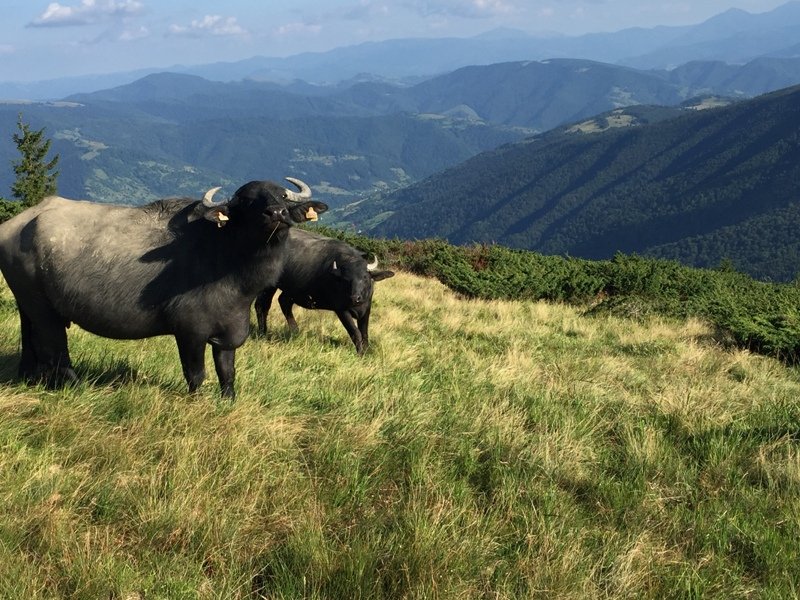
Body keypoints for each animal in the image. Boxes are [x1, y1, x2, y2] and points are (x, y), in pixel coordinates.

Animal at [0, 180, 328, 400]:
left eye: (282, 195)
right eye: (247, 201)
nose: (276, 213)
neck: (228, 260)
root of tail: (16, 224)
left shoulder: (229, 331)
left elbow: (227, 373)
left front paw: (228, 400)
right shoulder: (190, 332)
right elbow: (196, 375)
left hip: (27, 304)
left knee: (32, 341)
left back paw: (32, 378)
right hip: (44, 310)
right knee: (56, 349)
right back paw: (75, 385)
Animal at [256, 227, 394, 354]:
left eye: (365, 277)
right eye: (346, 279)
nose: (355, 297)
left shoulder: (366, 310)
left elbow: (364, 333)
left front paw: (366, 351)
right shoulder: (341, 310)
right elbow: (355, 332)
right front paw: (360, 352)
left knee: (283, 302)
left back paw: (295, 332)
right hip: (269, 285)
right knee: (262, 306)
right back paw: (263, 333)